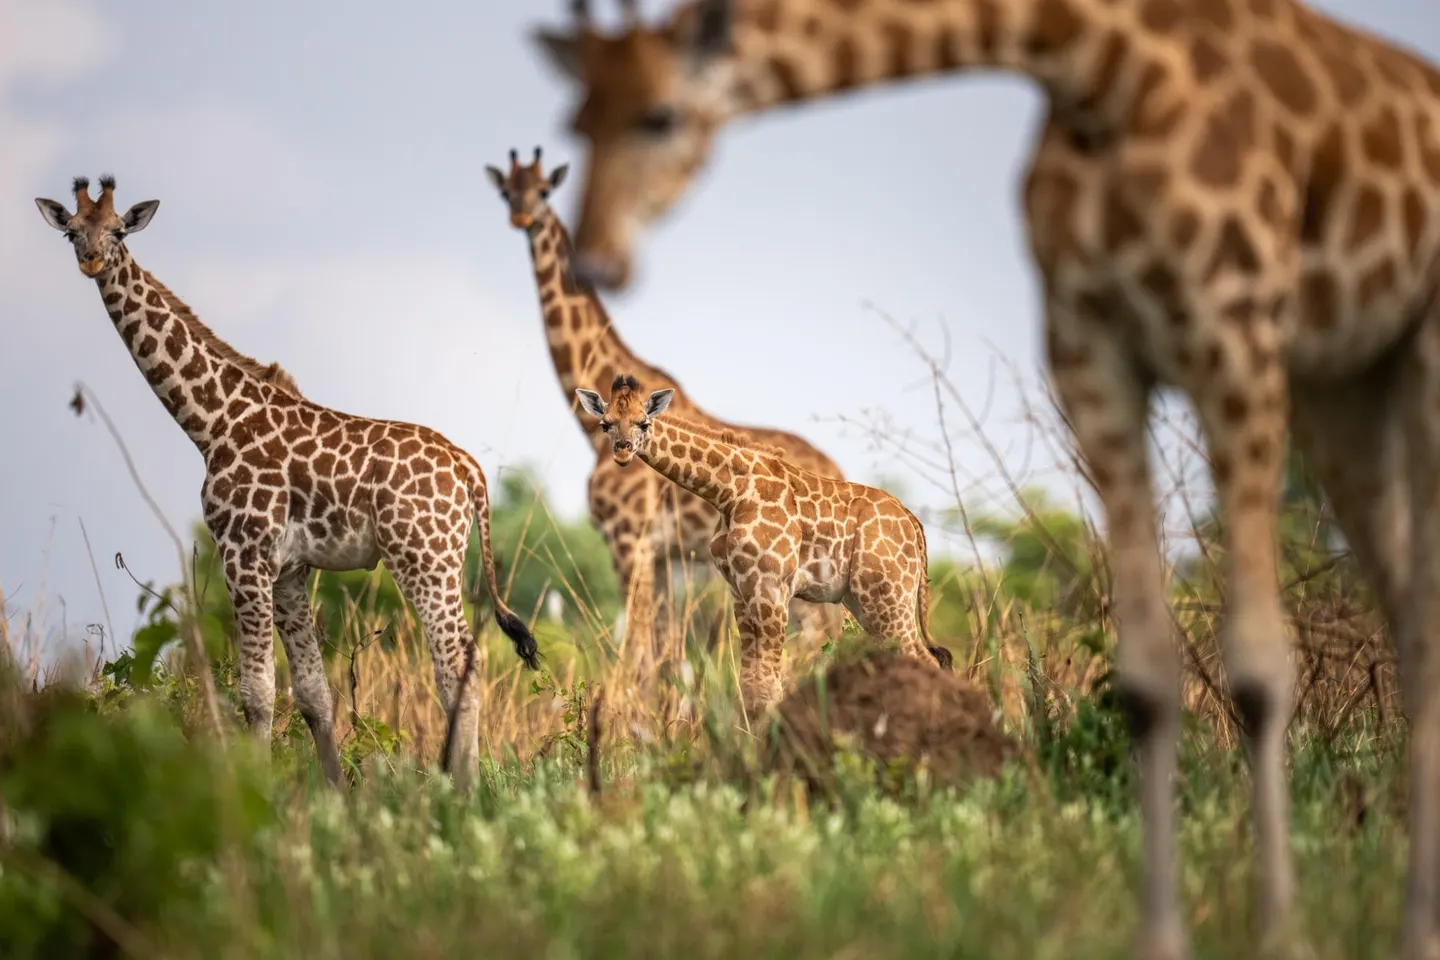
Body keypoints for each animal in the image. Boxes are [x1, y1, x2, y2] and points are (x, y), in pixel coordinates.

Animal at [35, 176, 541, 787]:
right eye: (71, 230)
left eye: (117, 231)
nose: (90, 260)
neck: (211, 422)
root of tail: (470, 472)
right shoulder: (290, 570)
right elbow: (313, 694)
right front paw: (334, 793)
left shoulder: (243, 551)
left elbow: (256, 693)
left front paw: (251, 791)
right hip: (437, 559)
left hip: (424, 558)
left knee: (460, 660)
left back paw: (462, 788)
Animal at [487, 145, 844, 671]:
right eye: (506, 192)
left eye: (546, 190)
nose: (522, 217)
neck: (589, 431)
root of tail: (837, 470)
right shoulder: (660, 555)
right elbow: (658, 656)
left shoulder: (629, 539)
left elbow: (635, 652)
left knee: (815, 635)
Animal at [575, 375, 953, 714]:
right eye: (606, 425)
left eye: (644, 423)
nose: (623, 452)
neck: (729, 493)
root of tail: (914, 525)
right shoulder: (740, 591)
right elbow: (750, 684)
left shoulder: (772, 588)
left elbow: (769, 684)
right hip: (864, 601)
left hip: (887, 596)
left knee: (923, 659)